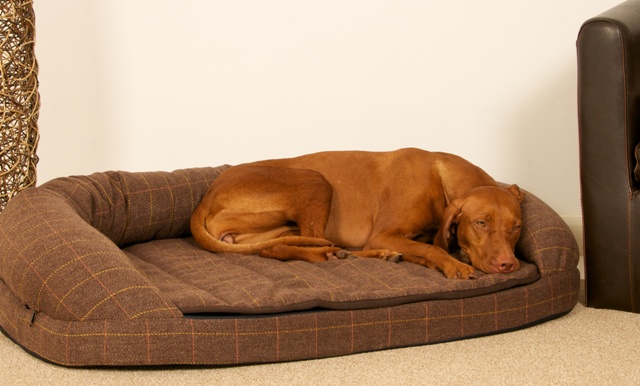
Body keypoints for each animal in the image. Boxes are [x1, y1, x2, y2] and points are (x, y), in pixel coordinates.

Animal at [190, 149, 524, 280]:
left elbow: (424, 249)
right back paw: (339, 255)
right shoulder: (384, 233)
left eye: (517, 228)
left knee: (276, 249)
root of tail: (206, 197)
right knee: (320, 242)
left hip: (276, 229)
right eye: (481, 223)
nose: (508, 265)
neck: (441, 178)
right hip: (314, 180)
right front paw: (454, 265)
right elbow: (433, 249)